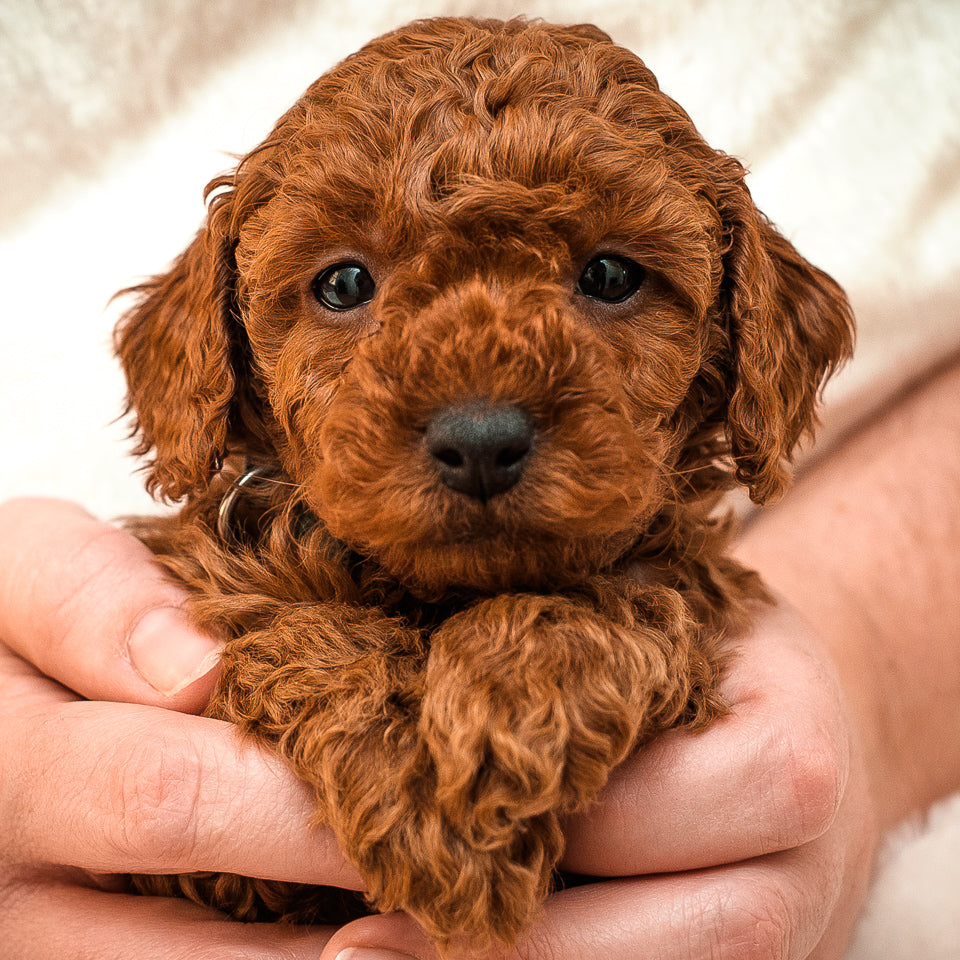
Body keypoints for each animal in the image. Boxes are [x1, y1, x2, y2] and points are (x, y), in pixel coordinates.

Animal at [114, 15, 856, 952]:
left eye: (611, 275)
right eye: (344, 282)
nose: (479, 440)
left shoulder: (677, 570)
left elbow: (611, 594)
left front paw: (500, 719)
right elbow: (295, 623)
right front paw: (424, 797)